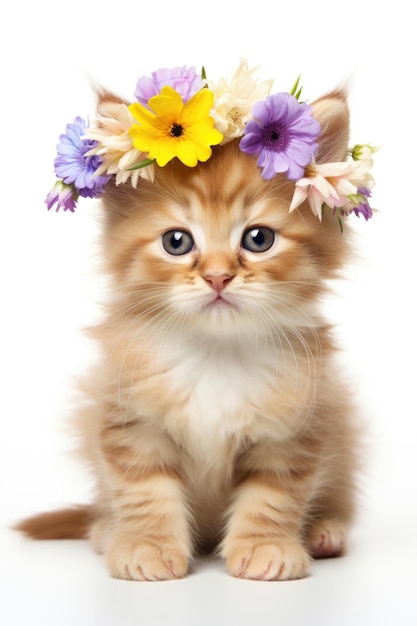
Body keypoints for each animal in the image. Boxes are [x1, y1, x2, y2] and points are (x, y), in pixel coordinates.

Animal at [17, 88, 360, 580]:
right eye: (176, 242)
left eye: (258, 239)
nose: (217, 277)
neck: (215, 352)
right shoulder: (131, 420)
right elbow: (144, 492)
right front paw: (146, 547)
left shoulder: (293, 428)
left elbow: (273, 495)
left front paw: (266, 548)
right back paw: (106, 530)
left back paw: (323, 532)